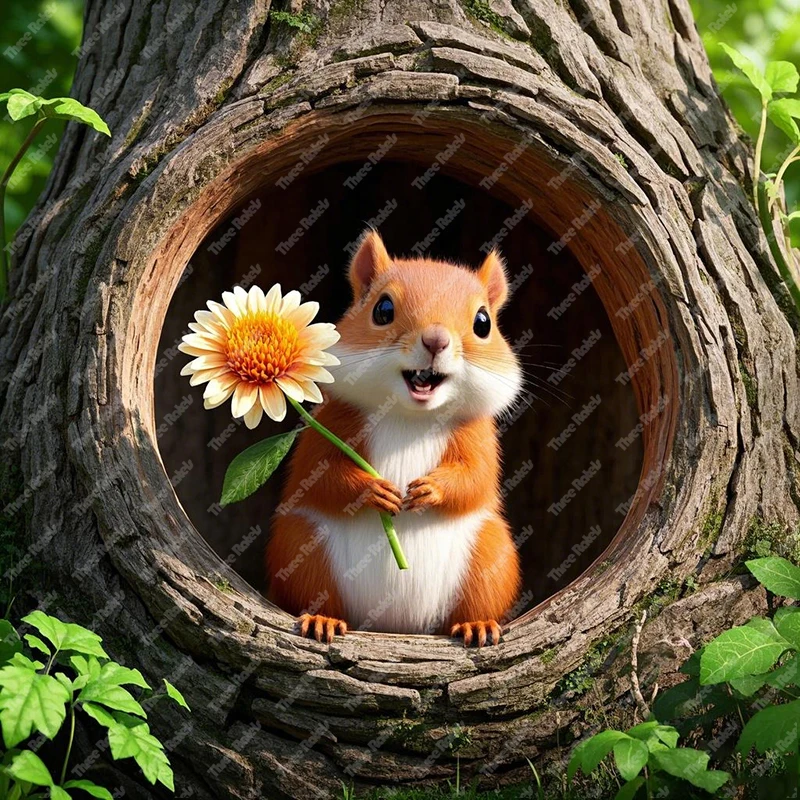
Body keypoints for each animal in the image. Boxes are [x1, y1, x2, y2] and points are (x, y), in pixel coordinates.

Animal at [265, 230, 523, 647]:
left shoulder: (478, 435)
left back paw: (477, 625)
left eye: (483, 323)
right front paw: (375, 490)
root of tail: (395, 624)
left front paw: (430, 490)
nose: (435, 340)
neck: (410, 416)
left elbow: (476, 477)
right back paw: (322, 619)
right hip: (301, 545)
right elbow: (319, 475)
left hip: (490, 555)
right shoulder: (331, 422)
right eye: (382, 310)